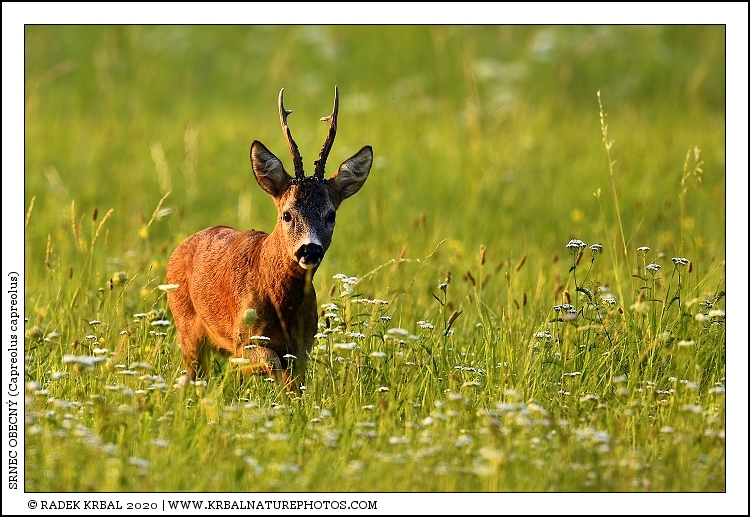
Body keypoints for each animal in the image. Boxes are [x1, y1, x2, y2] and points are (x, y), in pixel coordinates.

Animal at [165, 86, 373, 392]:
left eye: (331, 214)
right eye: (287, 214)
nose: (310, 250)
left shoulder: (303, 346)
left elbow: (296, 382)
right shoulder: (244, 338)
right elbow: (271, 362)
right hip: (187, 328)